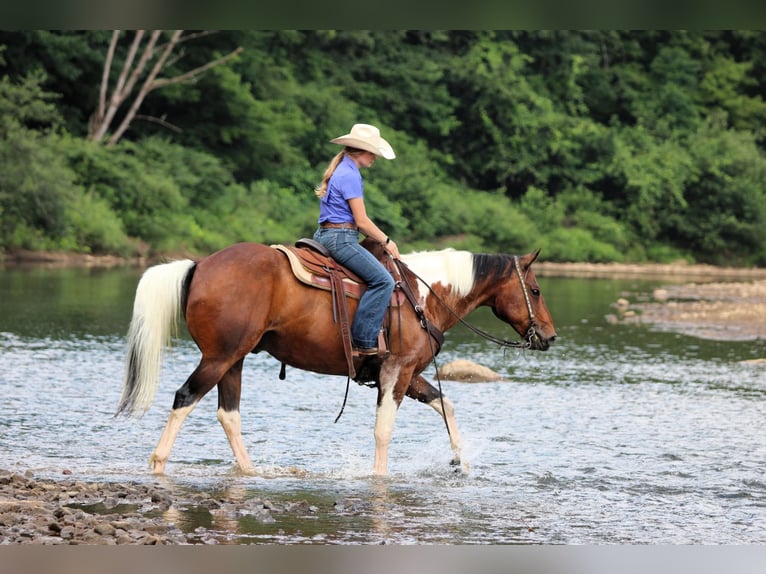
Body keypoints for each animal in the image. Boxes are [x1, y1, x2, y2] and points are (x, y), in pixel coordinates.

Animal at [117, 239, 557, 476]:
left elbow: (445, 404)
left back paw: (251, 471)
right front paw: (380, 478)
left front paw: (459, 463)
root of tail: (200, 265)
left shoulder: (408, 373)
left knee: (228, 414)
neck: (423, 296)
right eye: (535, 290)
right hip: (219, 357)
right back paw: (158, 464)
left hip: (234, 360)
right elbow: (383, 430)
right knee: (184, 398)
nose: (550, 337)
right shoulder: (396, 371)